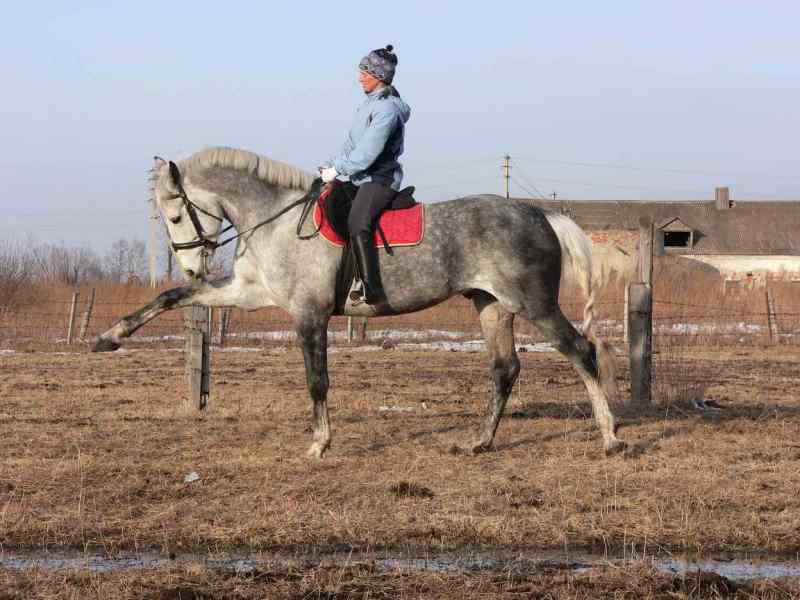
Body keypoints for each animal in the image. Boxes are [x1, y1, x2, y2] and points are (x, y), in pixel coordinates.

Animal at [94, 148, 628, 458]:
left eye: (175, 213)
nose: (191, 266)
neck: (274, 219)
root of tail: (539, 214)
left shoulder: (308, 314)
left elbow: (317, 380)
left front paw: (319, 444)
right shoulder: (247, 292)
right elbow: (170, 297)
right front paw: (108, 337)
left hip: (535, 305)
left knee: (581, 352)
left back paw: (610, 438)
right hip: (491, 306)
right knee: (505, 369)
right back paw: (480, 442)